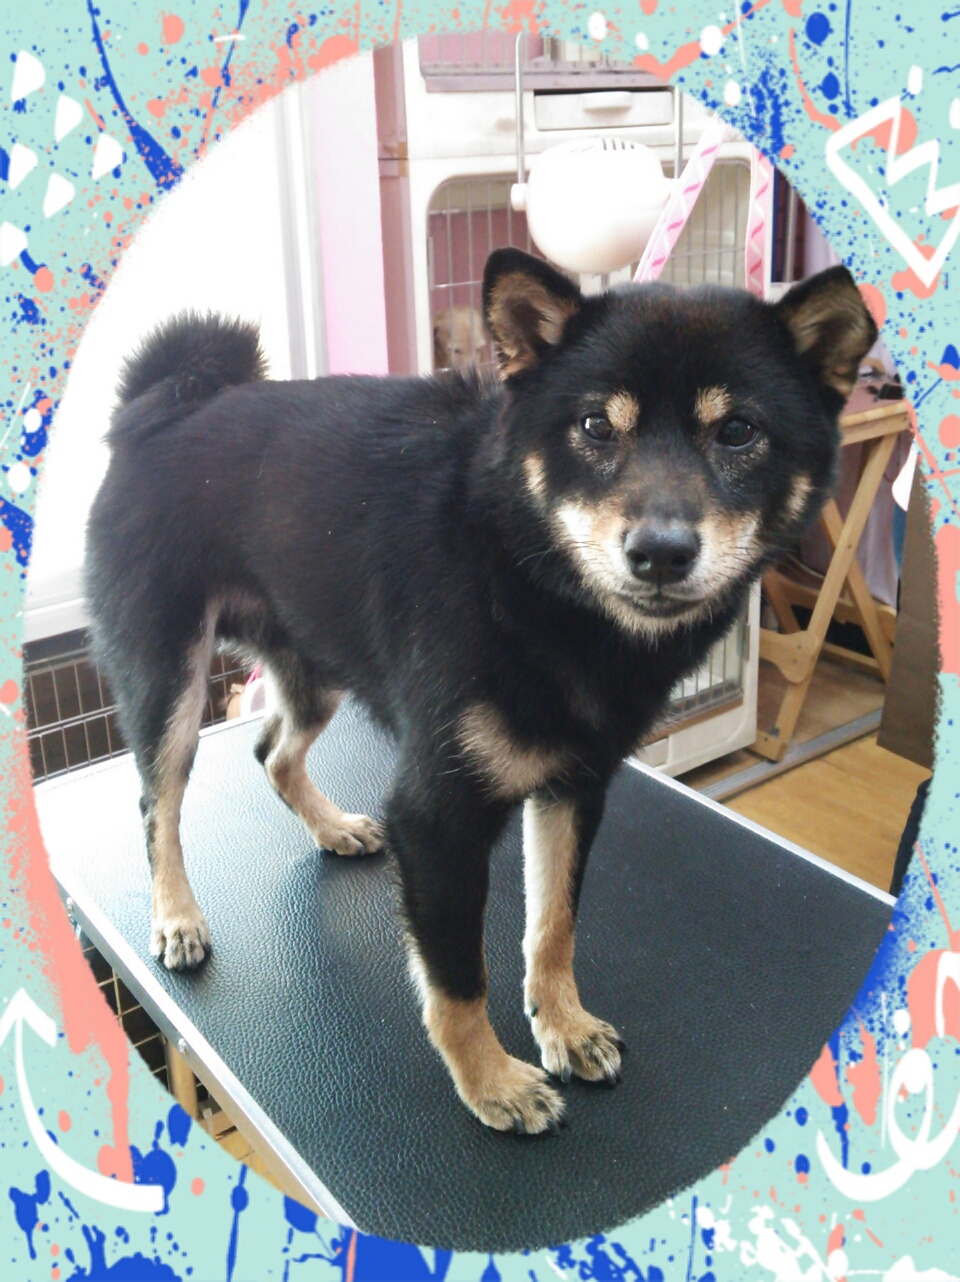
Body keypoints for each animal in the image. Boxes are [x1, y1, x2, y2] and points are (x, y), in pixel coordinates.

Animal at [85, 248, 876, 1134]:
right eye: (596, 427)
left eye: (738, 431)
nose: (661, 552)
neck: (530, 576)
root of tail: (164, 406)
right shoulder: (438, 818)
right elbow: (458, 980)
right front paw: (490, 1081)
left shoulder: (574, 787)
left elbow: (553, 925)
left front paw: (562, 1025)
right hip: (170, 683)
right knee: (159, 804)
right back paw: (177, 915)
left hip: (315, 664)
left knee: (271, 753)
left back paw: (333, 829)